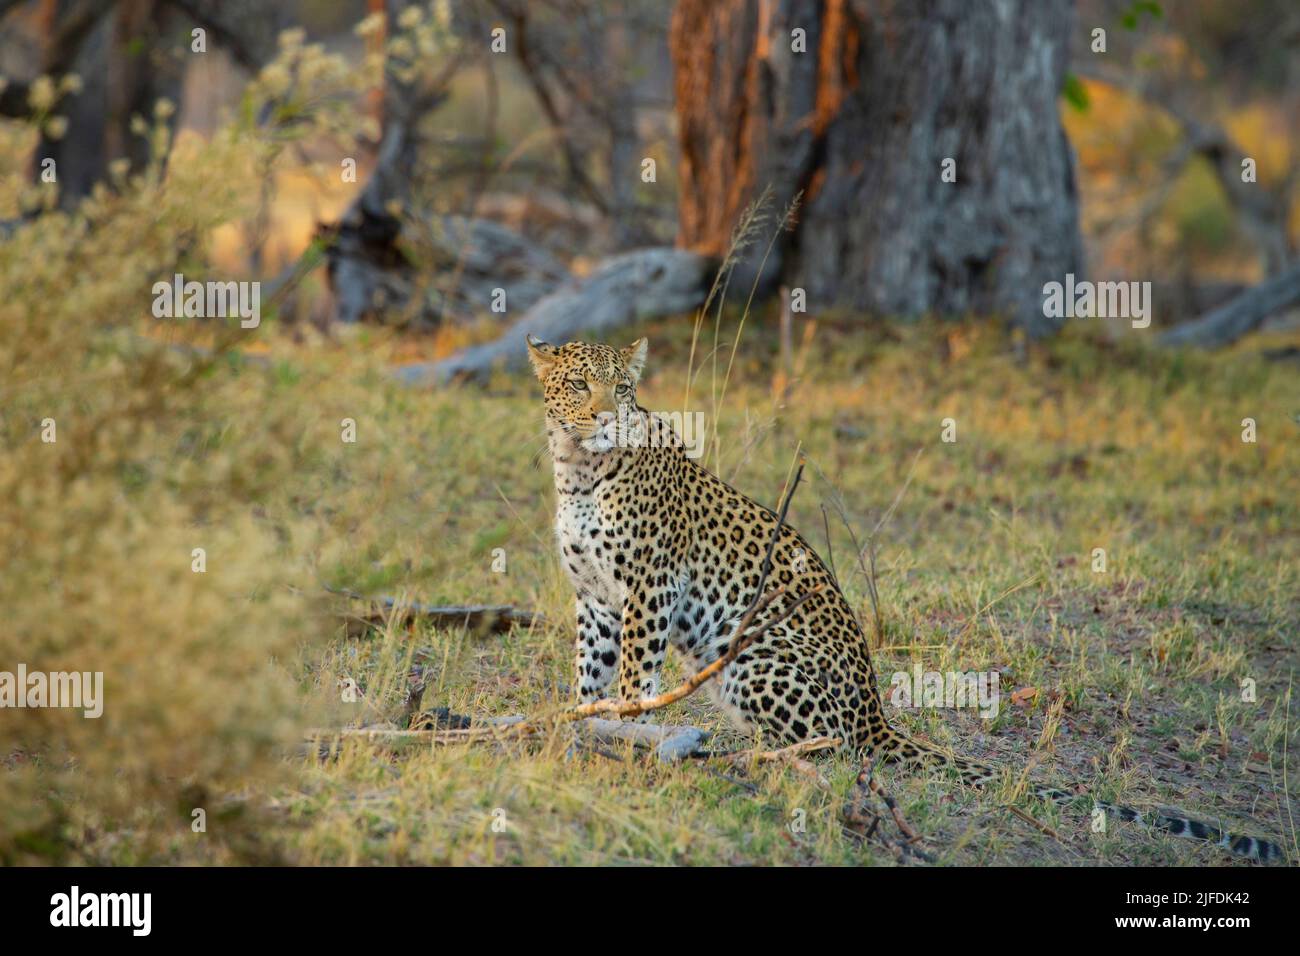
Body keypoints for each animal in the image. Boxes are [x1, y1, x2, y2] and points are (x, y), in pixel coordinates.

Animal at [525, 333, 1284, 863]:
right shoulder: (596, 599)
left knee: (828, 748)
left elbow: (633, 679)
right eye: (578, 384)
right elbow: (589, 674)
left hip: (756, 657)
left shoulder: (650, 588)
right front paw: (579, 733)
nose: (602, 417)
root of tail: (877, 714)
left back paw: (732, 745)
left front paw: (627, 731)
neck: (578, 469)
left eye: (622, 387)